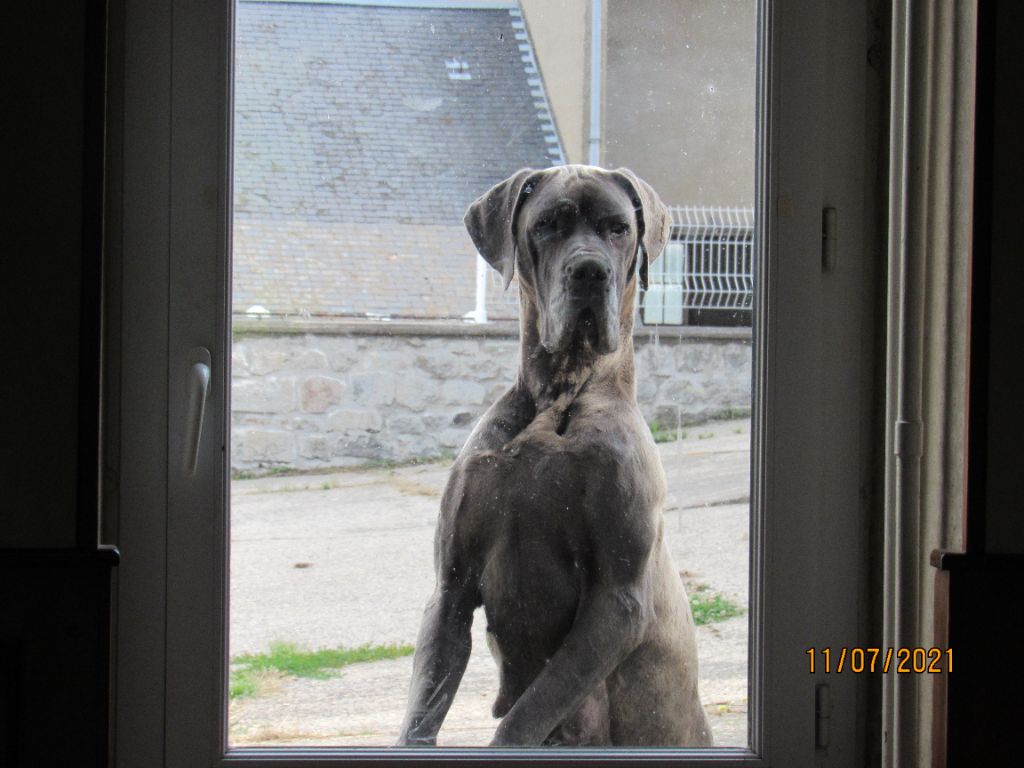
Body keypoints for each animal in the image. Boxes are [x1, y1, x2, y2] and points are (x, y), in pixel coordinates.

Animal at [397, 165, 712, 747]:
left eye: (618, 228)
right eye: (547, 224)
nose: (589, 272)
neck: (559, 393)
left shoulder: (616, 599)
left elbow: (527, 715)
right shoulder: (450, 590)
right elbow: (425, 706)